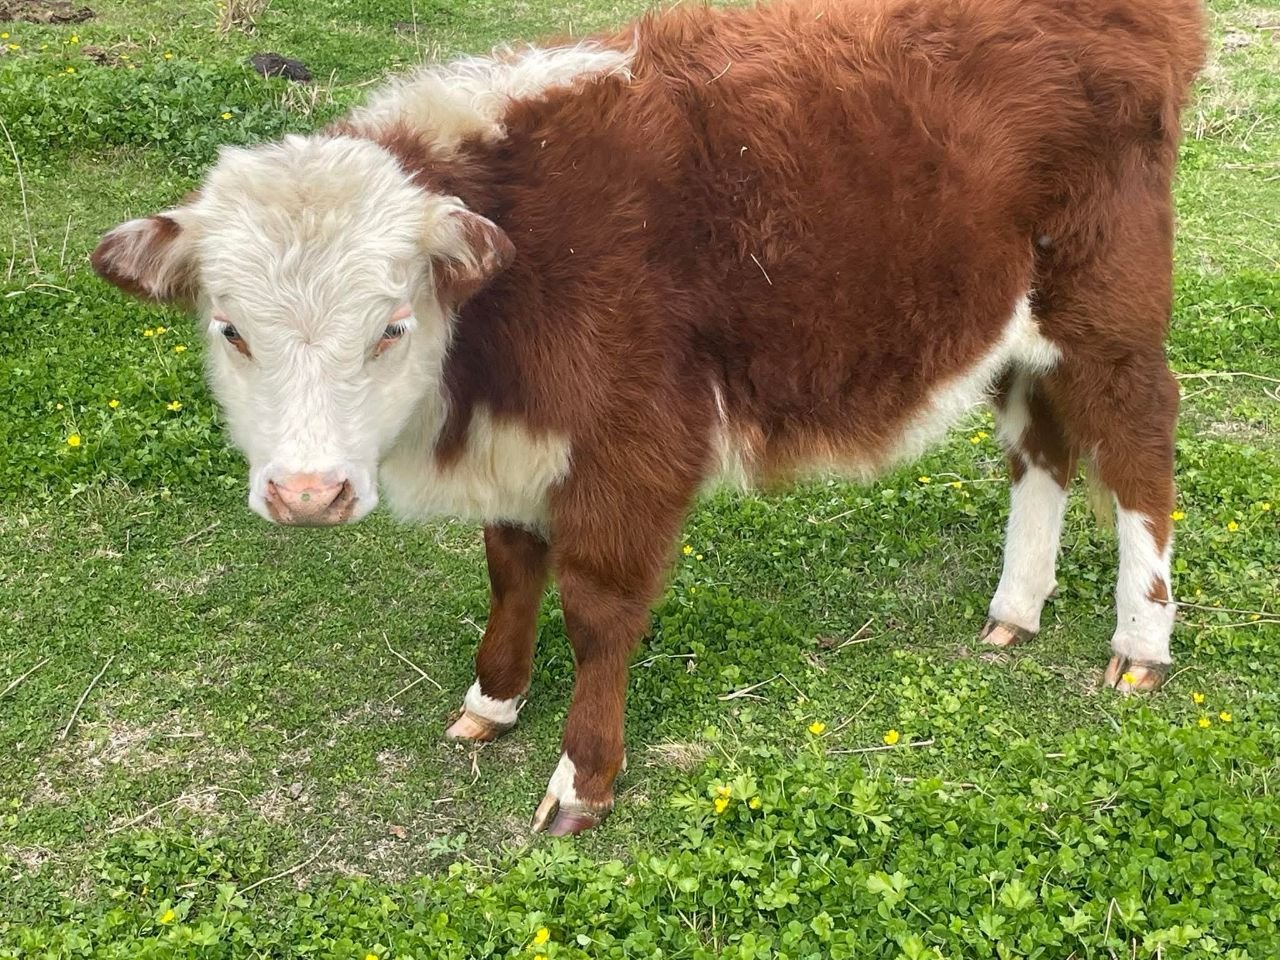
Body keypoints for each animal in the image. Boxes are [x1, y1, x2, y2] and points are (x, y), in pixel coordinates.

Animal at [91, 0, 1207, 835]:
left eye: (391, 326)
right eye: (229, 328)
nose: (307, 492)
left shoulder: (634, 442)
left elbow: (595, 608)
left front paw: (581, 779)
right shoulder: (527, 440)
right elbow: (511, 566)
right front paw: (491, 701)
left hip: (1106, 303)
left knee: (1138, 441)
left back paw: (1140, 643)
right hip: (1015, 326)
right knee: (1041, 447)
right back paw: (1014, 608)